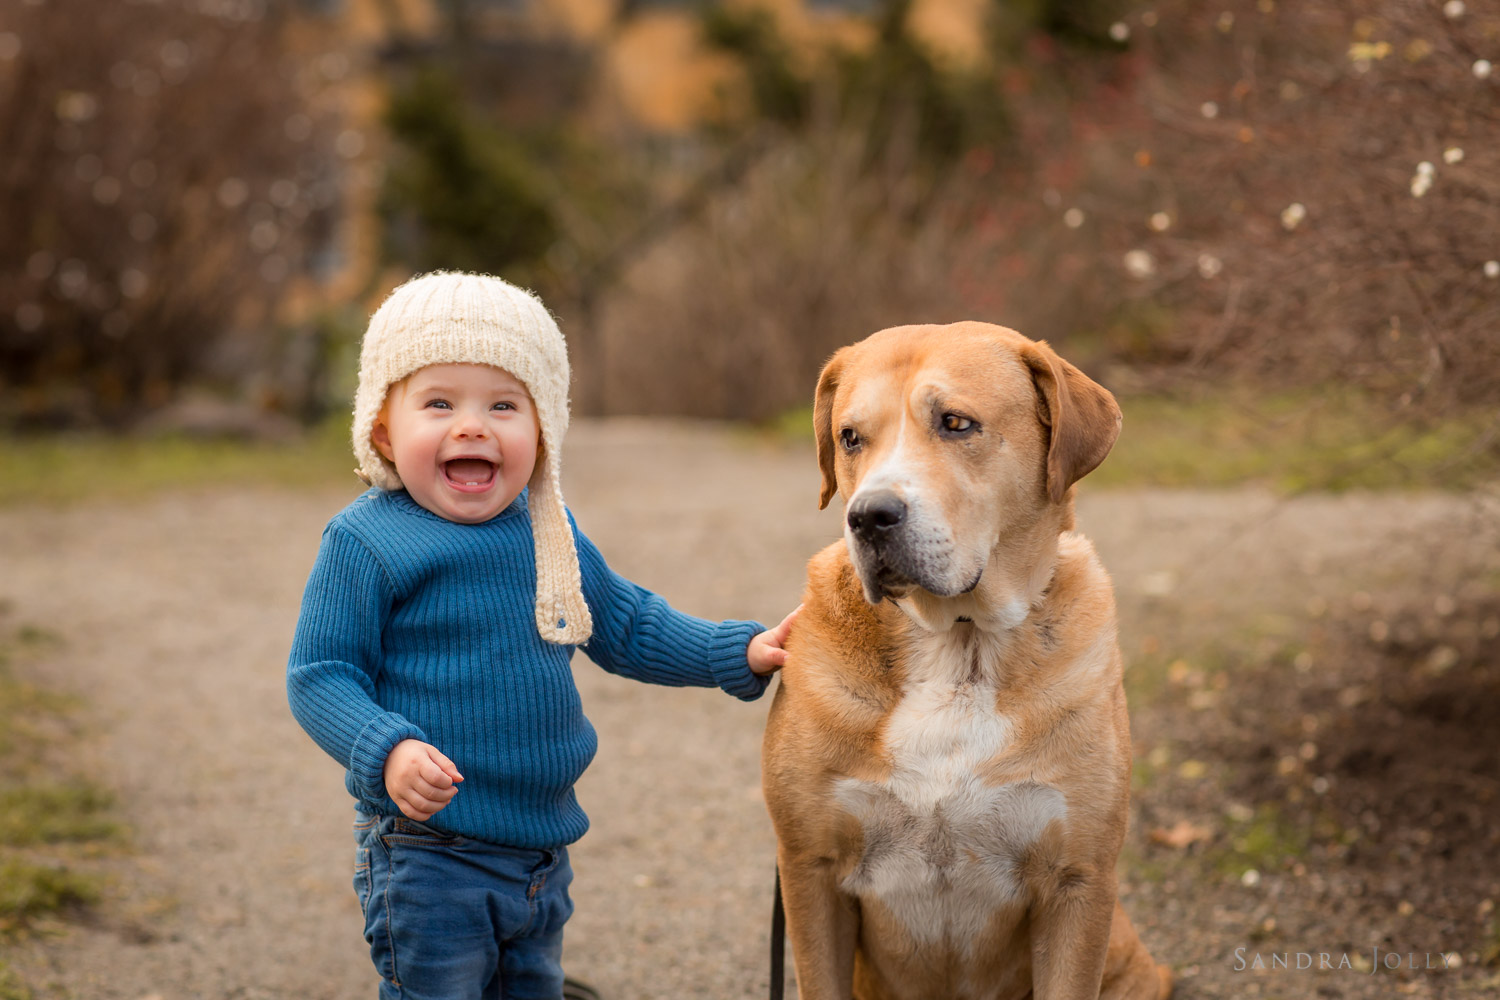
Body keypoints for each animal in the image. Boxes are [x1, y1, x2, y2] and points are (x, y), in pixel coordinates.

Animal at [762, 325, 1170, 995]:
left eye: (955, 423)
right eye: (850, 437)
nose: (868, 517)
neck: (961, 646)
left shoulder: (1078, 881)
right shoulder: (810, 871)